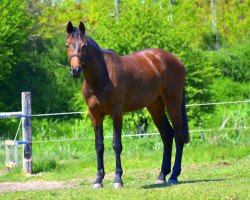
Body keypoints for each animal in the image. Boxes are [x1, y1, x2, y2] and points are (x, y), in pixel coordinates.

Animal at [65, 21, 188, 189]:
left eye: (84, 46)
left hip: (173, 102)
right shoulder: (95, 115)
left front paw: (118, 179)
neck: (101, 77)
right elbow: (99, 146)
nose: (76, 70)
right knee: (167, 134)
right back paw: (162, 175)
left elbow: (117, 145)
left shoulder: (116, 113)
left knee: (178, 135)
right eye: (67, 45)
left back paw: (174, 176)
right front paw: (98, 180)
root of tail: (177, 61)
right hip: (155, 106)